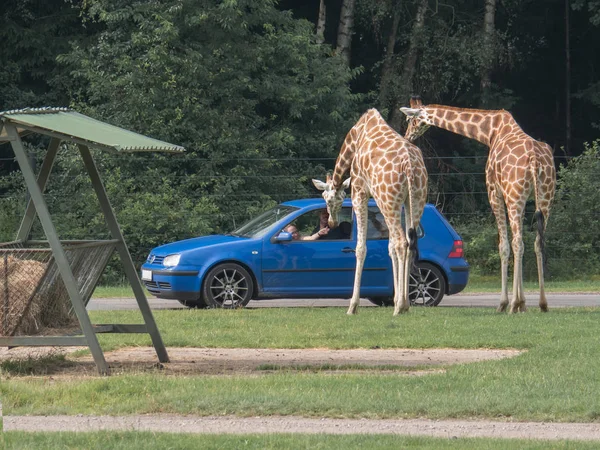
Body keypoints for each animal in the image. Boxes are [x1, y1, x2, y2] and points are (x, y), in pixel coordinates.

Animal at [314, 108, 426, 316]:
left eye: (327, 198)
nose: (332, 223)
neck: (354, 138)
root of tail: (409, 165)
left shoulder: (359, 191)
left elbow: (361, 248)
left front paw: (353, 306)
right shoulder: (391, 200)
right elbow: (389, 247)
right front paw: (397, 299)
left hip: (389, 200)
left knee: (401, 242)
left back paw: (399, 307)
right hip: (414, 199)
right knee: (408, 242)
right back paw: (405, 304)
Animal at [400, 96, 556, 312]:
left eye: (411, 120)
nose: (407, 136)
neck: (489, 132)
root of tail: (535, 161)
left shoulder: (494, 191)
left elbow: (504, 245)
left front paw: (506, 303)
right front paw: (522, 304)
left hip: (516, 195)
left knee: (518, 243)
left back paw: (513, 304)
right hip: (545, 197)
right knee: (537, 242)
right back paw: (542, 303)